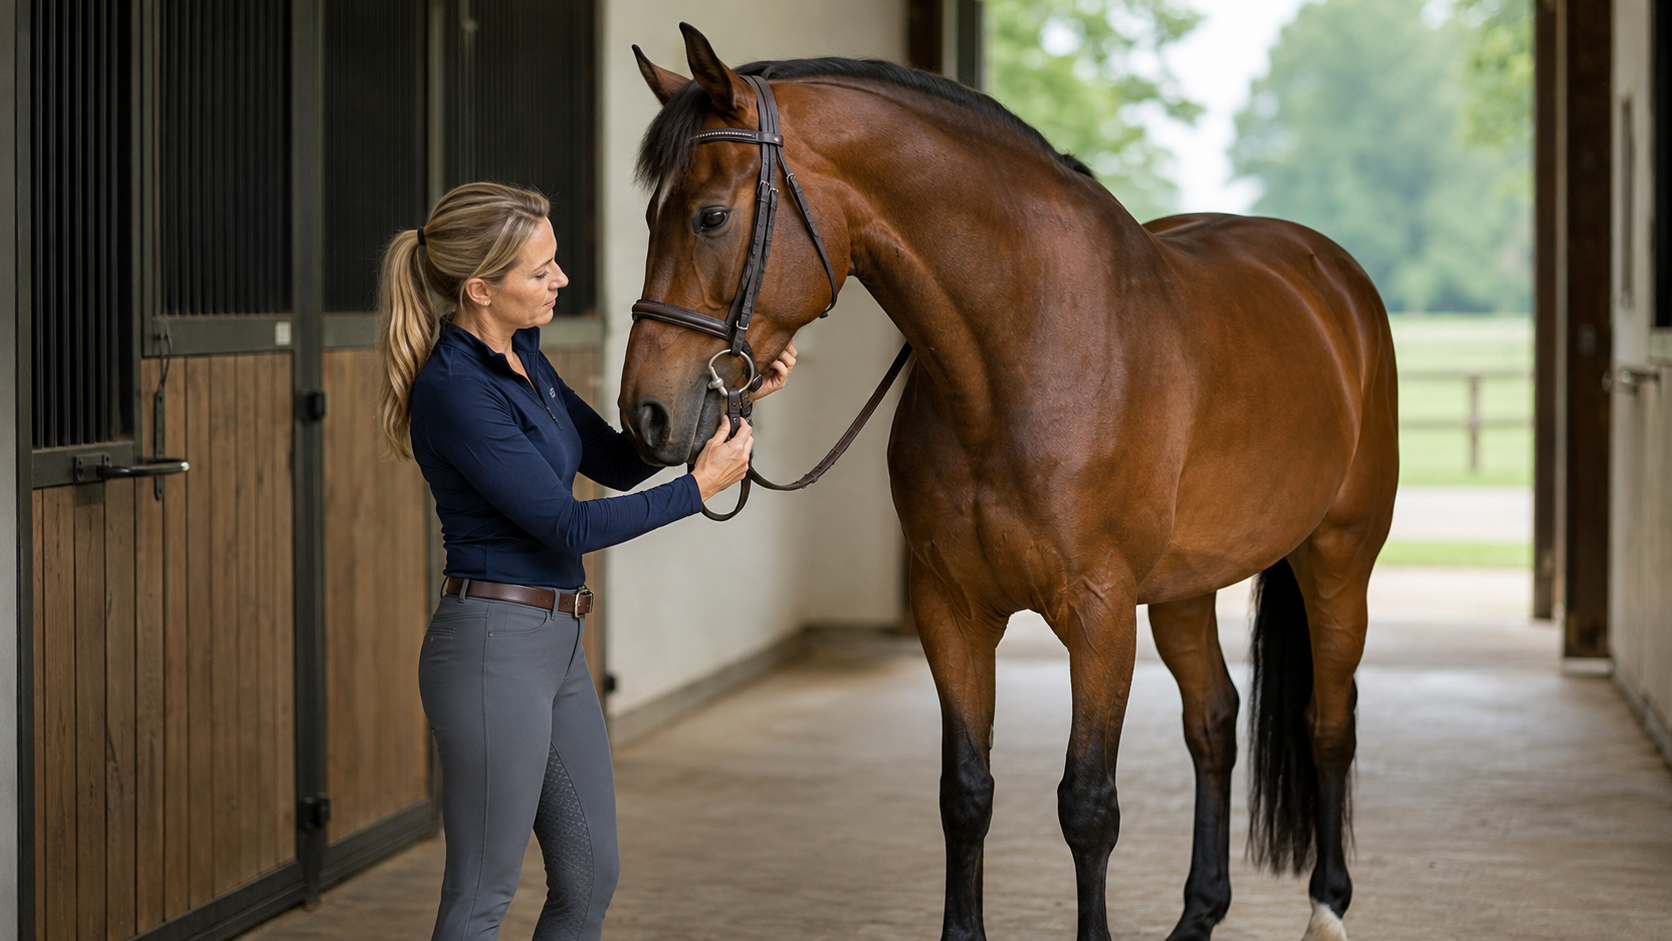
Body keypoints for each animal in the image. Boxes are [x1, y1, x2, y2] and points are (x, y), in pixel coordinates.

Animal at [618, 25, 1397, 941]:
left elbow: (1088, 805)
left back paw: (1327, 906)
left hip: (1337, 557)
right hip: (1183, 589)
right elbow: (966, 792)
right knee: (1214, 723)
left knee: (1330, 722)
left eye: (709, 216)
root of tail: (1332, 276)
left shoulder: (1099, 615)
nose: (646, 413)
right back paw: (1199, 912)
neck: (1017, 352)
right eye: (649, 216)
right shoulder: (951, 607)